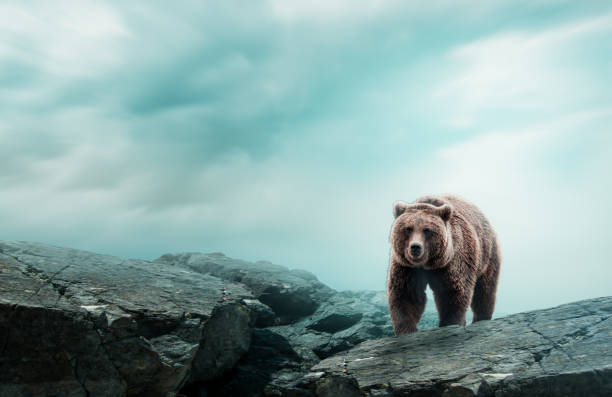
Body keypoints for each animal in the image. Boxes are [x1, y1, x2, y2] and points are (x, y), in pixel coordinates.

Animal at [390, 195, 500, 334]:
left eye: (427, 230)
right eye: (408, 228)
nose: (415, 247)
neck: (428, 264)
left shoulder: (453, 262)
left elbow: (452, 292)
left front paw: (449, 323)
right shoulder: (407, 266)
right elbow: (406, 294)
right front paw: (407, 329)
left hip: (487, 256)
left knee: (485, 290)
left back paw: (481, 318)